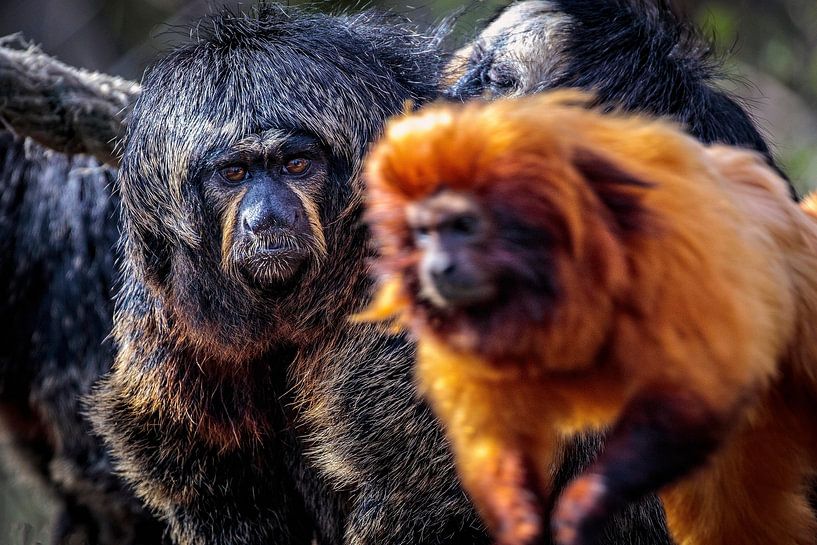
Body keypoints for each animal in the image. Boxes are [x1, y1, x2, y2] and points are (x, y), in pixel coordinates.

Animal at [360, 91, 817, 545]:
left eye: (464, 225)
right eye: (424, 233)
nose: (438, 267)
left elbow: (698, 392)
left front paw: (585, 504)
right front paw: (521, 521)